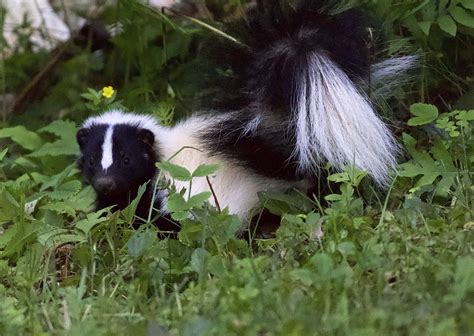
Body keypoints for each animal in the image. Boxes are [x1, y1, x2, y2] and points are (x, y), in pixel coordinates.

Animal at [77, 0, 414, 228]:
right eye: (92, 160)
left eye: (127, 160)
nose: (106, 182)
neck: (162, 151)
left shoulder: (163, 194)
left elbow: (153, 221)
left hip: (262, 199)